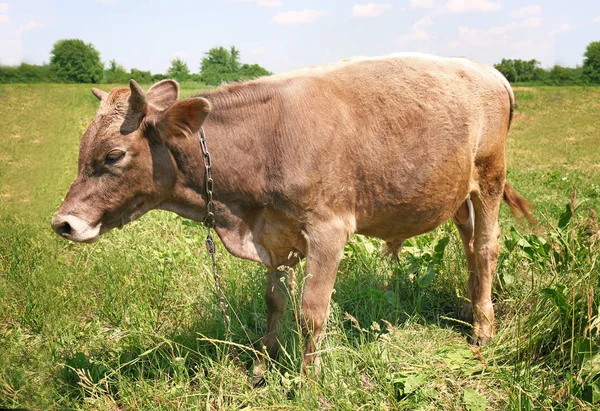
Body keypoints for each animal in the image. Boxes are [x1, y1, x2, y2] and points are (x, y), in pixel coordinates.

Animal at [51, 54, 528, 376]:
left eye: (113, 155)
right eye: (81, 150)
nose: (63, 223)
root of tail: (493, 73)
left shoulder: (329, 229)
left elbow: (311, 311)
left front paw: (309, 379)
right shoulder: (273, 234)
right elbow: (274, 301)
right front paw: (264, 367)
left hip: (490, 176)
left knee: (486, 247)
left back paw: (483, 332)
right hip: (457, 193)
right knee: (469, 245)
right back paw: (471, 309)